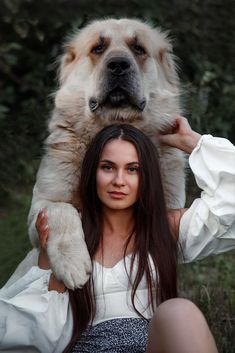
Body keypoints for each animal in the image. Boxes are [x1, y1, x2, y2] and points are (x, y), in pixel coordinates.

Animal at [25, 17, 185, 288]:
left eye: (138, 48)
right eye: (98, 48)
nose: (118, 65)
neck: (114, 125)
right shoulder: (41, 207)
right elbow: (62, 211)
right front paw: (73, 263)